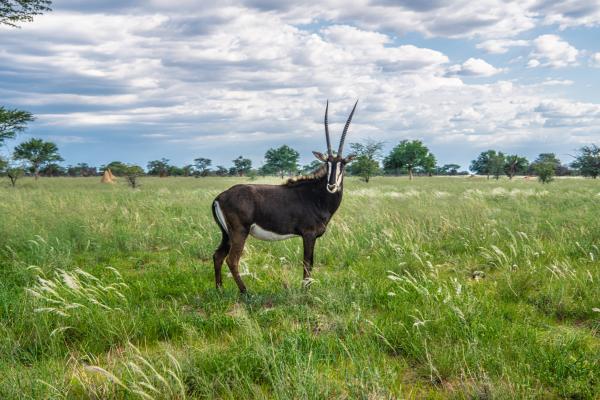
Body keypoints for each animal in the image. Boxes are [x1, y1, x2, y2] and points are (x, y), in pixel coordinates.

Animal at [213, 101, 358, 292]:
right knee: (232, 259)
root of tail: (220, 197)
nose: (332, 185)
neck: (316, 197)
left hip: (226, 234)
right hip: (239, 232)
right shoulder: (308, 235)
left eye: (343, 164)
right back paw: (246, 293)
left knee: (217, 256)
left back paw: (220, 290)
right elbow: (308, 263)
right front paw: (305, 291)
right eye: (327, 163)